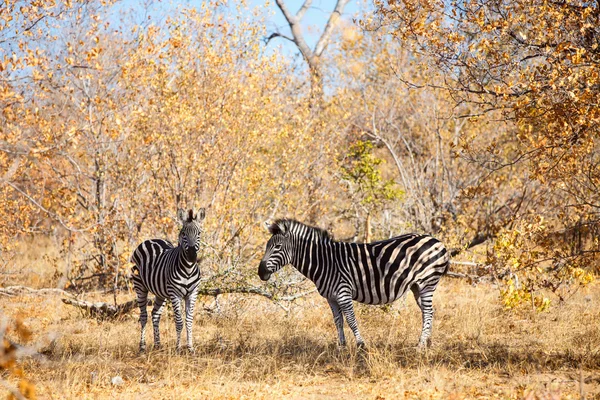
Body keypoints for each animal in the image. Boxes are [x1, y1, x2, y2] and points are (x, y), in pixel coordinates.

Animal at [131, 208, 206, 352]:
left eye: (199, 233)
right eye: (183, 233)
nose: (192, 256)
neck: (188, 269)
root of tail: (150, 239)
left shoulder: (193, 293)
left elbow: (189, 320)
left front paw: (190, 348)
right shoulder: (175, 294)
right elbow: (179, 321)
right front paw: (178, 348)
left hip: (161, 293)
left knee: (155, 314)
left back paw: (157, 345)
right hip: (140, 286)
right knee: (143, 316)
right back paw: (142, 346)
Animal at [258, 220, 450, 348]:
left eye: (277, 247)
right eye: (267, 246)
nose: (260, 272)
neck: (324, 261)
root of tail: (436, 240)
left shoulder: (343, 292)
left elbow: (351, 320)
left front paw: (360, 345)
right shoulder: (331, 297)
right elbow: (338, 321)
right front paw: (341, 346)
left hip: (427, 282)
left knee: (428, 311)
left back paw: (421, 345)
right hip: (417, 286)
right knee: (428, 312)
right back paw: (427, 341)